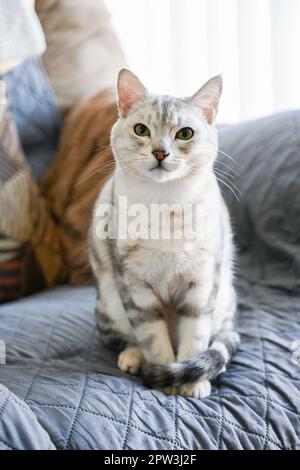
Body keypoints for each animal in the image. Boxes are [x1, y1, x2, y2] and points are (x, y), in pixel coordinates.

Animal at [88, 69, 239, 396]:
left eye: (185, 133)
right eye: (141, 130)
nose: (160, 152)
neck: (167, 202)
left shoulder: (202, 280)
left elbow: (195, 336)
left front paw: (191, 382)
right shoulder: (135, 281)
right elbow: (152, 336)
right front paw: (165, 377)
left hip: (224, 300)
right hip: (110, 302)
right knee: (128, 337)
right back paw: (133, 358)